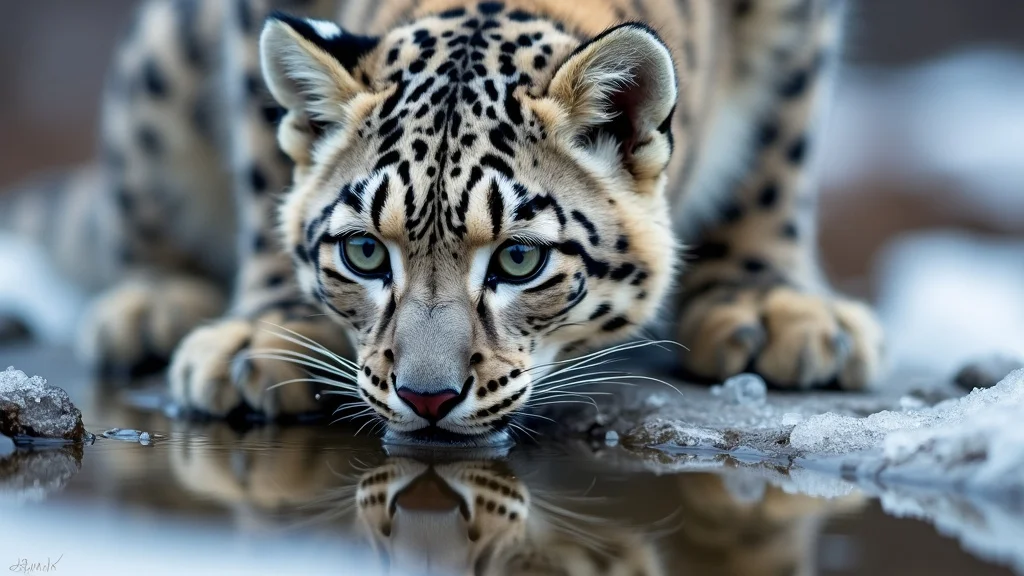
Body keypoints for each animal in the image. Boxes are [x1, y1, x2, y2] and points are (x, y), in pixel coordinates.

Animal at [0, 0, 884, 446]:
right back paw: (153, 303)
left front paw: (770, 306)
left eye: (520, 261)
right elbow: (259, 150)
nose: (427, 398)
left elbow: (779, 142)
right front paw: (264, 336)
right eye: (364, 252)